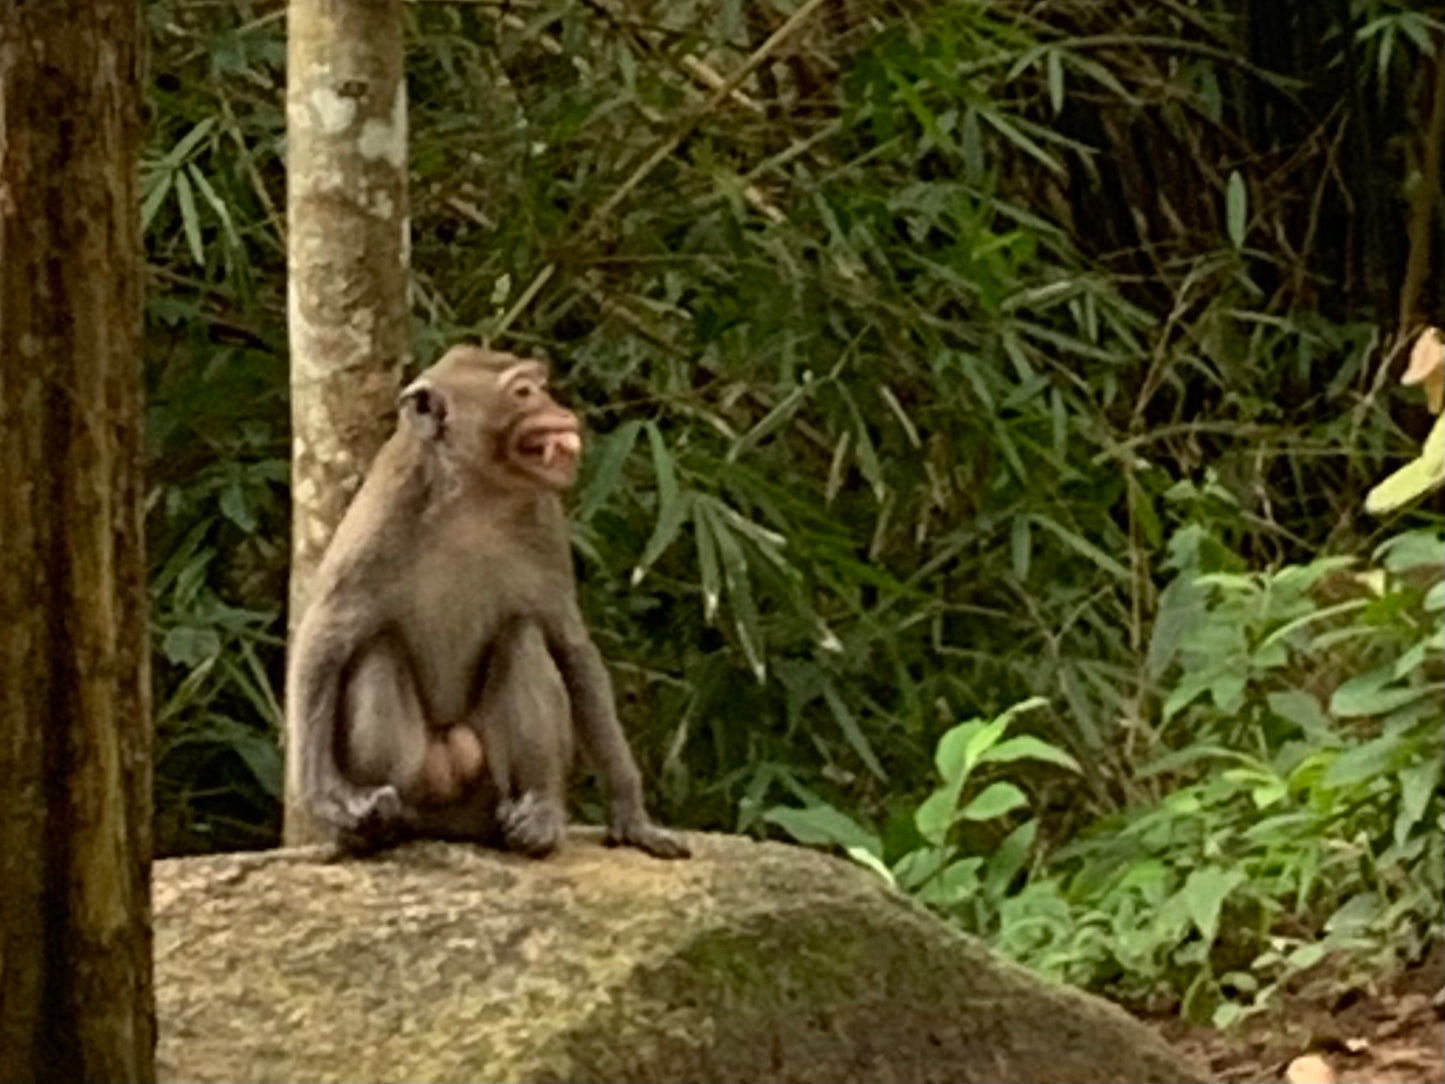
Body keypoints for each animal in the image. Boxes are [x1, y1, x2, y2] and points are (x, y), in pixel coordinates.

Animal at [284, 343, 690, 861]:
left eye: (538, 385)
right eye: (522, 391)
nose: (557, 407)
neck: (473, 493)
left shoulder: (545, 523)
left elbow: (569, 645)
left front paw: (633, 815)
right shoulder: (381, 515)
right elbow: (327, 633)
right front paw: (325, 800)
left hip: (487, 789)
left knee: (523, 637)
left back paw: (538, 814)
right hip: (417, 775)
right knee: (376, 649)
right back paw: (377, 828)